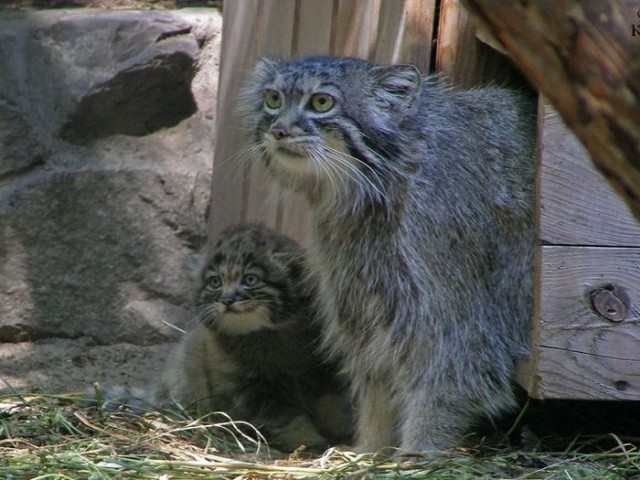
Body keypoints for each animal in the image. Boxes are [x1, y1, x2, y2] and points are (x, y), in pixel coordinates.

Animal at [239, 56, 536, 454]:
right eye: (273, 99)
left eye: (321, 102)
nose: (279, 130)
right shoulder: (357, 290)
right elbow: (374, 377)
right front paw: (370, 448)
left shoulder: (451, 306)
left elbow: (451, 372)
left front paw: (418, 450)